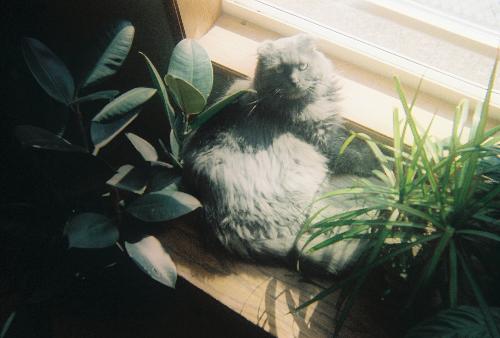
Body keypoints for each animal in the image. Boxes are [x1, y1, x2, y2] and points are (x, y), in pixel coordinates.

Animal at [184, 34, 378, 274]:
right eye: (279, 70)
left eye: (302, 66)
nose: (294, 81)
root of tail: (220, 225)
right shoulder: (327, 145)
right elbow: (357, 155)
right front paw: (380, 161)